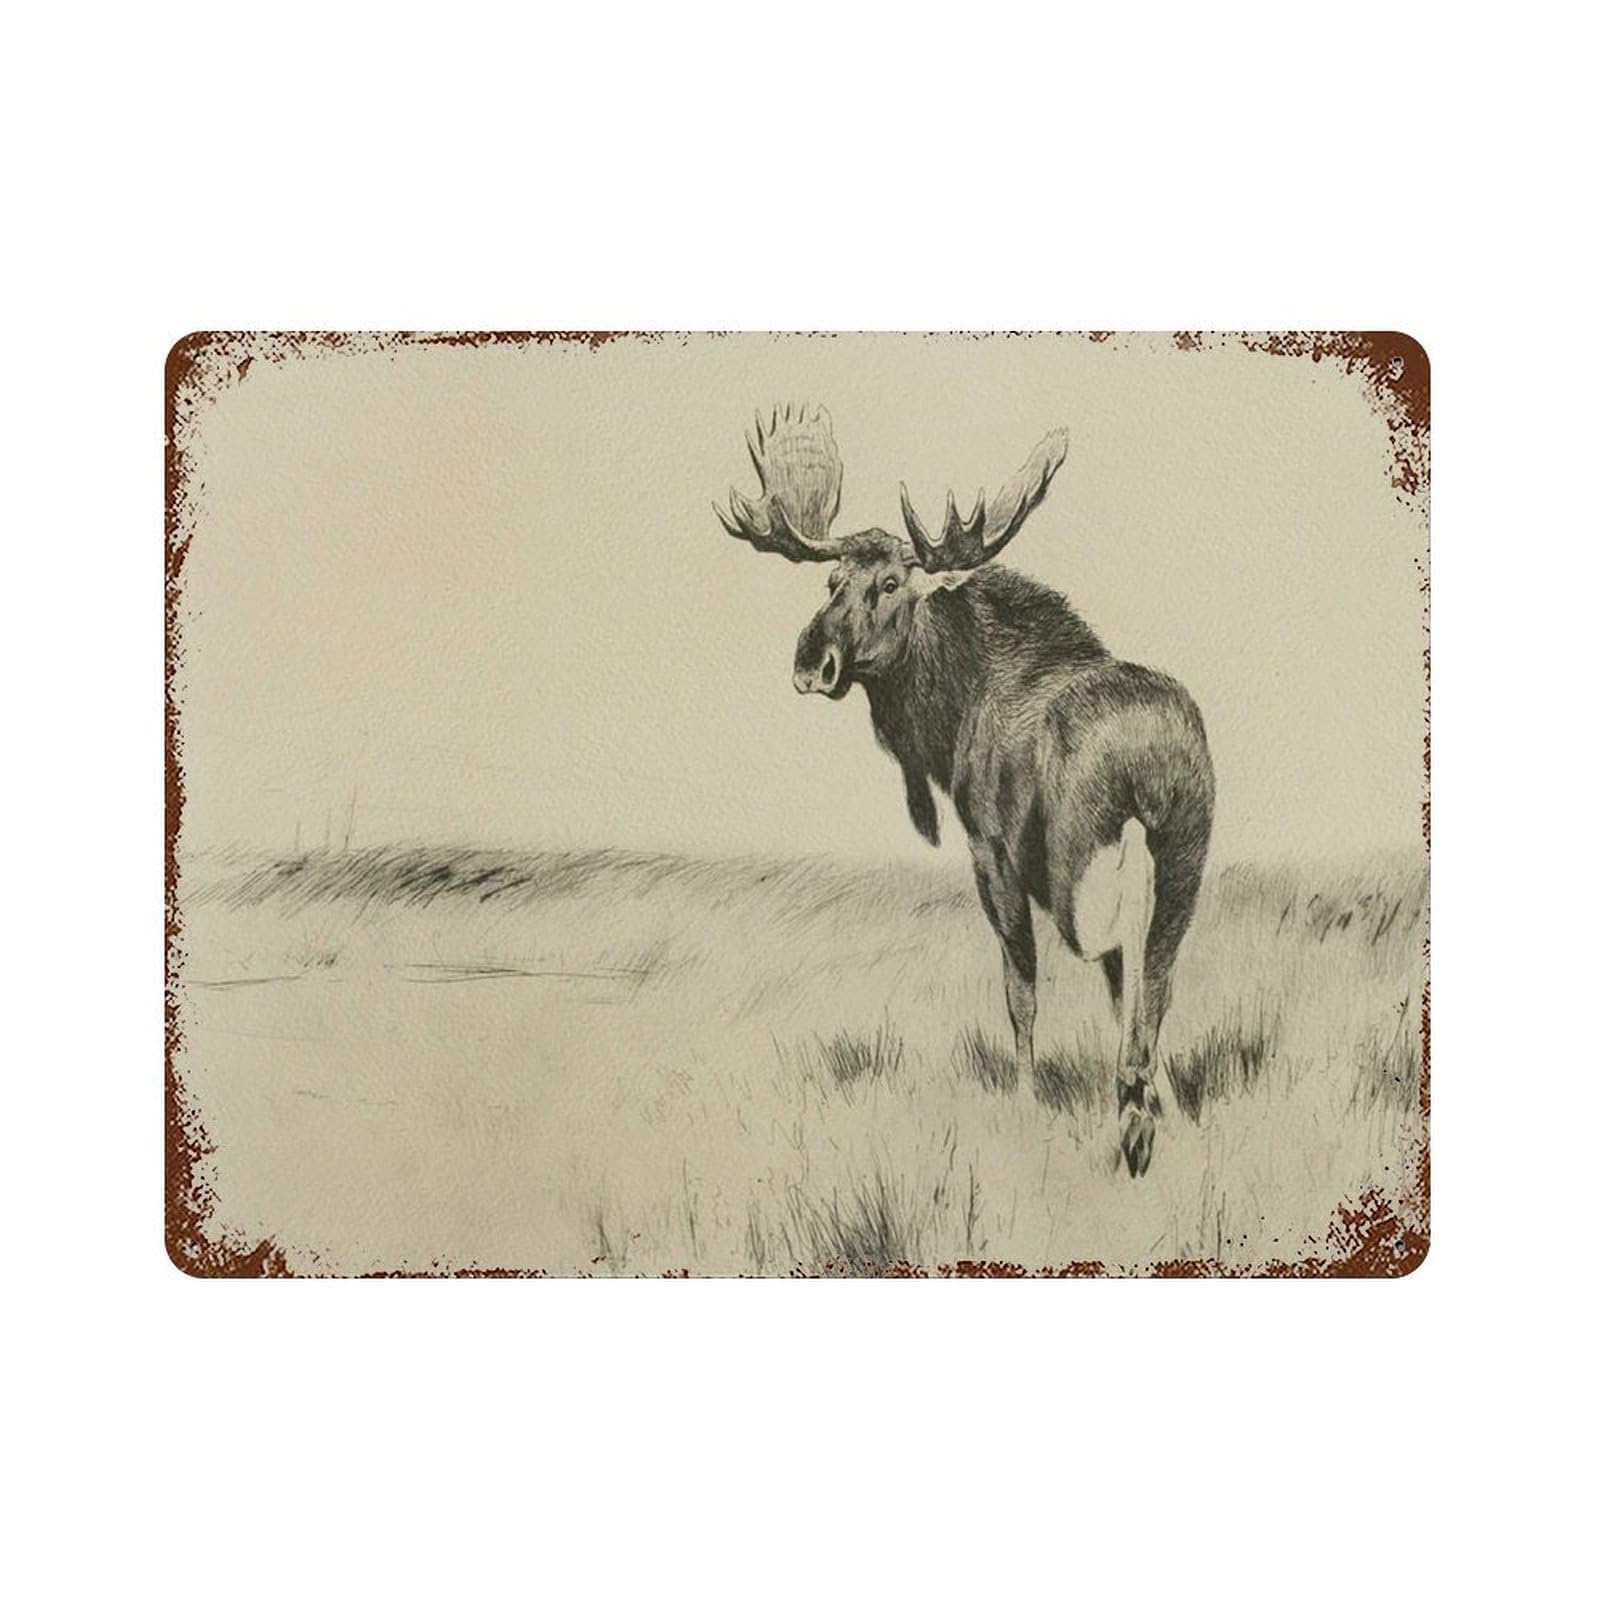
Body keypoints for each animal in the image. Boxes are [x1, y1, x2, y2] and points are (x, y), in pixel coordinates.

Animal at [715, 405, 1215, 1176]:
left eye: (892, 584)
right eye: (831, 582)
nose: (811, 660)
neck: (947, 719)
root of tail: (1146, 764)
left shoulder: (989, 849)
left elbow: (1021, 989)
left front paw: (1026, 1098)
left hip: (1081, 864)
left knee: (1119, 966)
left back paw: (1133, 1116)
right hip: (1185, 856)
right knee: (1153, 975)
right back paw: (1148, 1109)